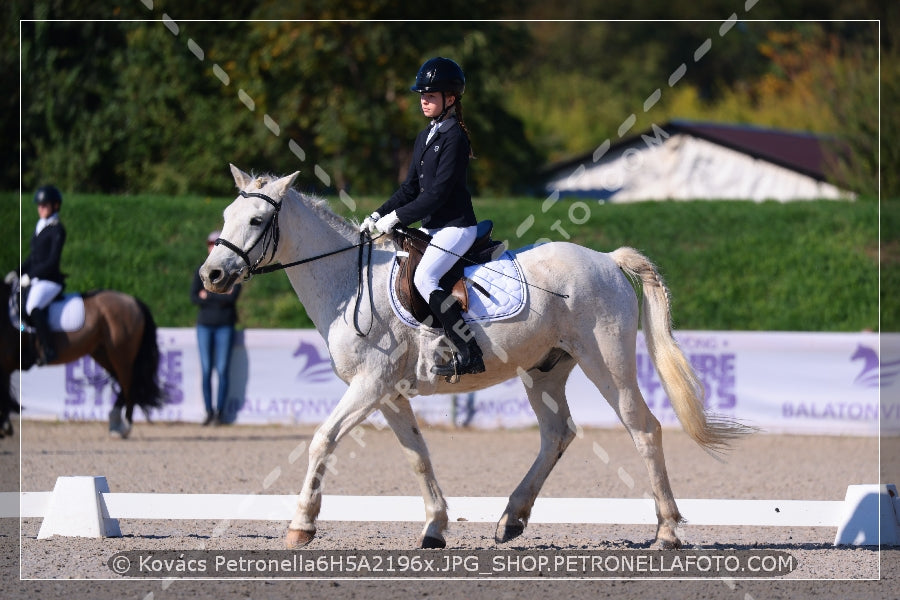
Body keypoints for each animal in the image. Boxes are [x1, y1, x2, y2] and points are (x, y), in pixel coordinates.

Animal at [0, 274, 163, 438]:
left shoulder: (5, 364)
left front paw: (5, 426)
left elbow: (4, 393)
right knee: (123, 383)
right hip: (103, 354)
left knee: (129, 386)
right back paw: (115, 424)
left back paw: (125, 428)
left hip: (122, 355)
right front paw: (5, 427)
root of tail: (133, 301)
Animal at [199, 164, 752, 548]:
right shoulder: (388, 393)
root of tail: (607, 260)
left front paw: (301, 526)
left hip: (607, 364)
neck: (350, 282)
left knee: (644, 429)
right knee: (558, 434)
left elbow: (322, 440)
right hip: (544, 372)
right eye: (224, 217)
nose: (212, 276)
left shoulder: (370, 384)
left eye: (256, 219)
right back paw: (511, 519)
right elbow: (417, 455)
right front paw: (435, 528)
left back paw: (667, 532)